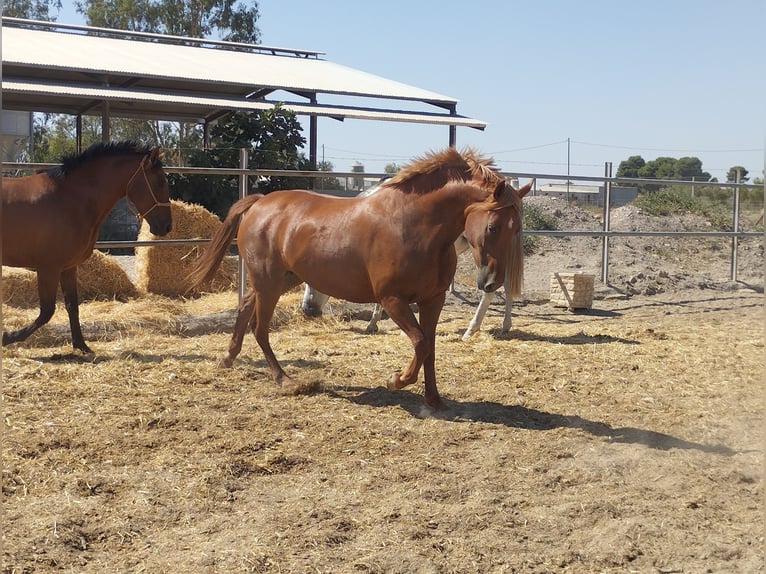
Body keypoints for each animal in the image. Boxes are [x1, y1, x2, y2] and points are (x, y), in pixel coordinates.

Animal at [1, 142, 172, 354]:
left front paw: (81, 346)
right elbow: (47, 311)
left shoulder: (67, 267)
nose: (167, 226)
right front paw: (8, 337)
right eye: (161, 182)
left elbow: (72, 306)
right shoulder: (48, 268)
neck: (69, 199)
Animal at [189, 147, 532, 410]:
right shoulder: (393, 300)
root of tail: (259, 202)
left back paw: (228, 358)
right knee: (259, 327)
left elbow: (430, 347)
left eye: (516, 228)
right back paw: (284, 379)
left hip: (279, 279)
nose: (490, 282)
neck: (415, 224)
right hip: (269, 281)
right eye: (493, 227)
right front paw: (397, 380)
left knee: (244, 309)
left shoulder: (432, 300)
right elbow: (420, 343)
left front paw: (434, 400)